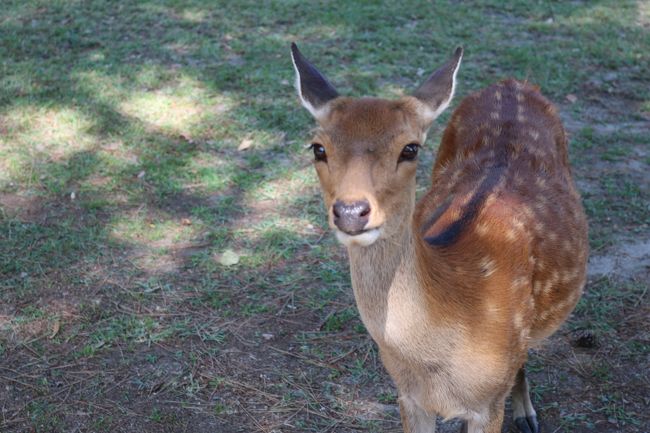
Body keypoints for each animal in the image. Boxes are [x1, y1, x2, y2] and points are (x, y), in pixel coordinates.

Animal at [288, 43, 588, 432]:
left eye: (410, 148)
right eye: (318, 148)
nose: (351, 211)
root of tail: (512, 83)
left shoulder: (488, 405)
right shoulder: (407, 395)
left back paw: (526, 414)